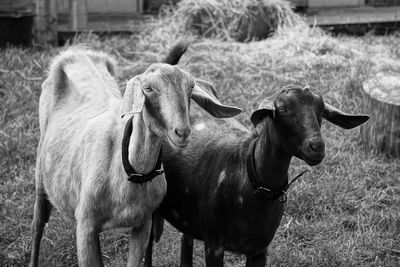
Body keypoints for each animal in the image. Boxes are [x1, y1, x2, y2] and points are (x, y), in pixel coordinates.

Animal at [28, 43, 241, 266]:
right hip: (41, 175)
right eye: (148, 88)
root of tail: (76, 53)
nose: (182, 132)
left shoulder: (143, 223)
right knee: (37, 224)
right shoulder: (86, 225)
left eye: (190, 88)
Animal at [144, 87, 368, 266]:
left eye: (321, 111)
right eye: (283, 109)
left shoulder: (259, 249)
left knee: (185, 243)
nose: (316, 147)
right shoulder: (214, 245)